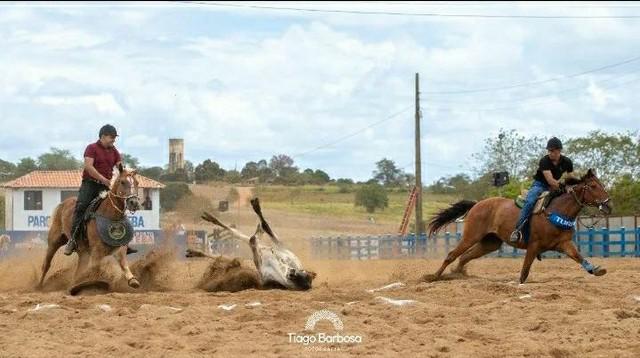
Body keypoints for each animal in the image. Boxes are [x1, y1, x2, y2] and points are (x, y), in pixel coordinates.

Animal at [424, 169, 608, 284]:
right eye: (593, 186)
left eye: (602, 185)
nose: (608, 204)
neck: (556, 211)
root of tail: (477, 204)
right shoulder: (533, 246)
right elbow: (524, 272)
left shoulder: (564, 244)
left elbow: (578, 256)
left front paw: (595, 270)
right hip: (471, 236)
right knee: (452, 255)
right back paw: (433, 277)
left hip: (490, 242)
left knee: (465, 257)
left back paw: (457, 274)